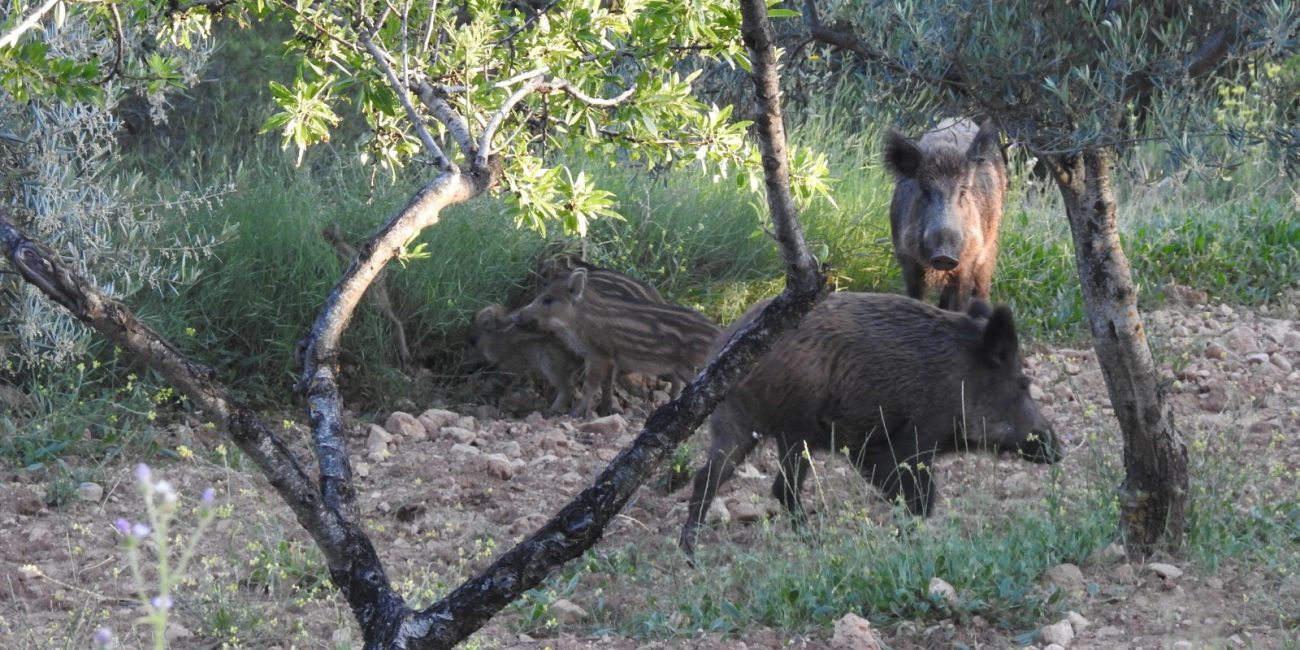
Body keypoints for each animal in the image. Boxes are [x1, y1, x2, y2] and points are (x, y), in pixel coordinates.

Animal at [512, 267, 721, 417]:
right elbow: (606, 384)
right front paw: (602, 410)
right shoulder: (608, 358)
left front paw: (576, 413)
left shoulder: (599, 355)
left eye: (548, 300)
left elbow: (589, 386)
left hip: (691, 365)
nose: (515, 317)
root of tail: (716, 331)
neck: (579, 321)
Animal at [678, 292, 1060, 556]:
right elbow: (922, 498)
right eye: (1023, 383)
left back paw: (692, 553)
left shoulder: (869, 450)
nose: (1057, 449)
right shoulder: (914, 438)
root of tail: (723, 345)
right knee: (778, 487)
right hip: (791, 428)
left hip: (740, 424)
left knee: (715, 478)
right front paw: (911, 543)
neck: (961, 378)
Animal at [884, 118, 1007, 311]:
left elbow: (960, 298)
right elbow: (915, 294)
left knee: (982, 286)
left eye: (963, 192)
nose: (944, 256)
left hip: (989, 246)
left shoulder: (968, 259)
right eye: (925, 191)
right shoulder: (907, 257)